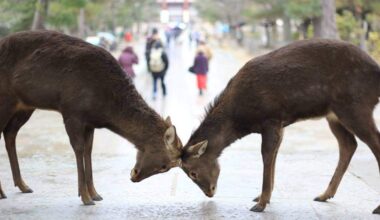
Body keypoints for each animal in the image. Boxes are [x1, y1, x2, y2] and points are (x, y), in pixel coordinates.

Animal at [0, 30, 183, 205]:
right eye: (164, 166)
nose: (135, 176)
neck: (104, 108)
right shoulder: (72, 112)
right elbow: (79, 149)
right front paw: (85, 197)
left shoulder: (90, 123)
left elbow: (89, 150)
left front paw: (95, 194)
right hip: (6, 100)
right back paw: (3, 192)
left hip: (24, 107)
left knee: (10, 133)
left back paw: (23, 185)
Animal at [180, 38, 380, 214]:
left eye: (192, 173)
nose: (210, 192)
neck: (240, 119)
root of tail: (376, 71)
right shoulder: (281, 125)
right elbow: (275, 155)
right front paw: (261, 197)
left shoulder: (270, 119)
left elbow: (267, 155)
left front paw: (260, 204)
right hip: (334, 115)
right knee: (348, 144)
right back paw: (324, 195)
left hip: (355, 106)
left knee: (374, 143)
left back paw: (375, 207)